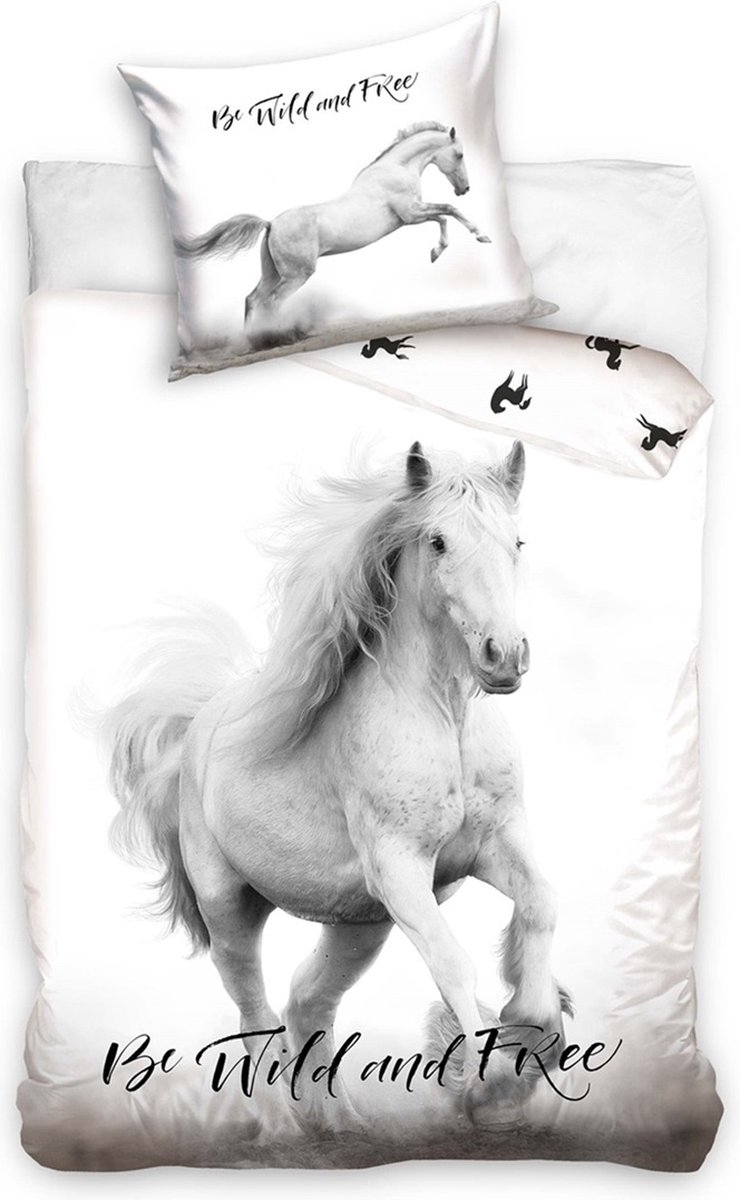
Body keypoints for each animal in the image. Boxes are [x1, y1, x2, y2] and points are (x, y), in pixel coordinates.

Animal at [101, 440, 571, 1134]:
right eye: (438, 541)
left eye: (517, 541)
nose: (504, 655)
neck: (445, 721)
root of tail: (198, 731)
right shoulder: (401, 868)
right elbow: (452, 962)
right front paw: (491, 1088)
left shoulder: (494, 845)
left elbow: (541, 903)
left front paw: (534, 1027)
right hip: (230, 909)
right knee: (253, 1012)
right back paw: (279, 1128)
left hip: (361, 925)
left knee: (307, 1002)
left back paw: (342, 1122)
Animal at [174, 122, 492, 328]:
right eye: (460, 154)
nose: (465, 189)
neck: (395, 170)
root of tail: (271, 224)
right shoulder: (410, 214)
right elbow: (449, 211)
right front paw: (482, 236)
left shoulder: (411, 216)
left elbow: (443, 217)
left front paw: (436, 253)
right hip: (297, 275)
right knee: (271, 302)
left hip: (272, 272)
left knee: (252, 299)